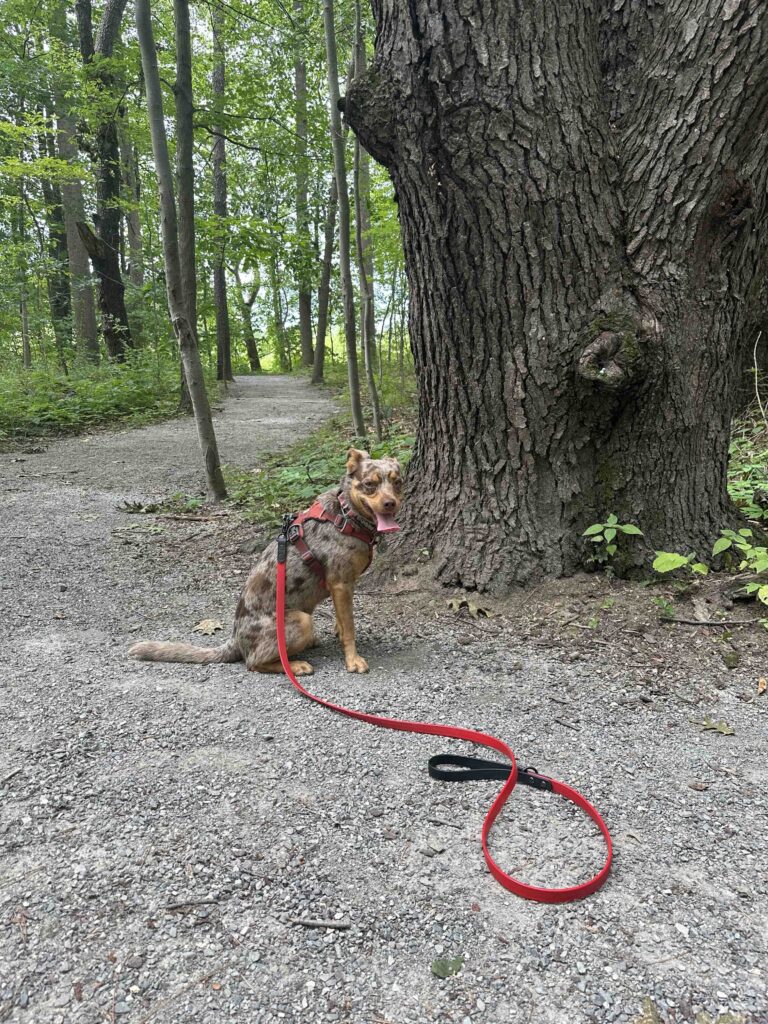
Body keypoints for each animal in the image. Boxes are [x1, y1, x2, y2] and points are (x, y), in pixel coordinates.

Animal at [128, 450, 403, 675]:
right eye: (370, 484)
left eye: (397, 482)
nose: (391, 503)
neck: (347, 514)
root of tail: (235, 639)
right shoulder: (341, 583)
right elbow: (350, 629)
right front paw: (353, 660)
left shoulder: (344, 587)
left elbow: (342, 622)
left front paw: (338, 632)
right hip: (302, 620)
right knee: (253, 663)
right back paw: (295, 665)